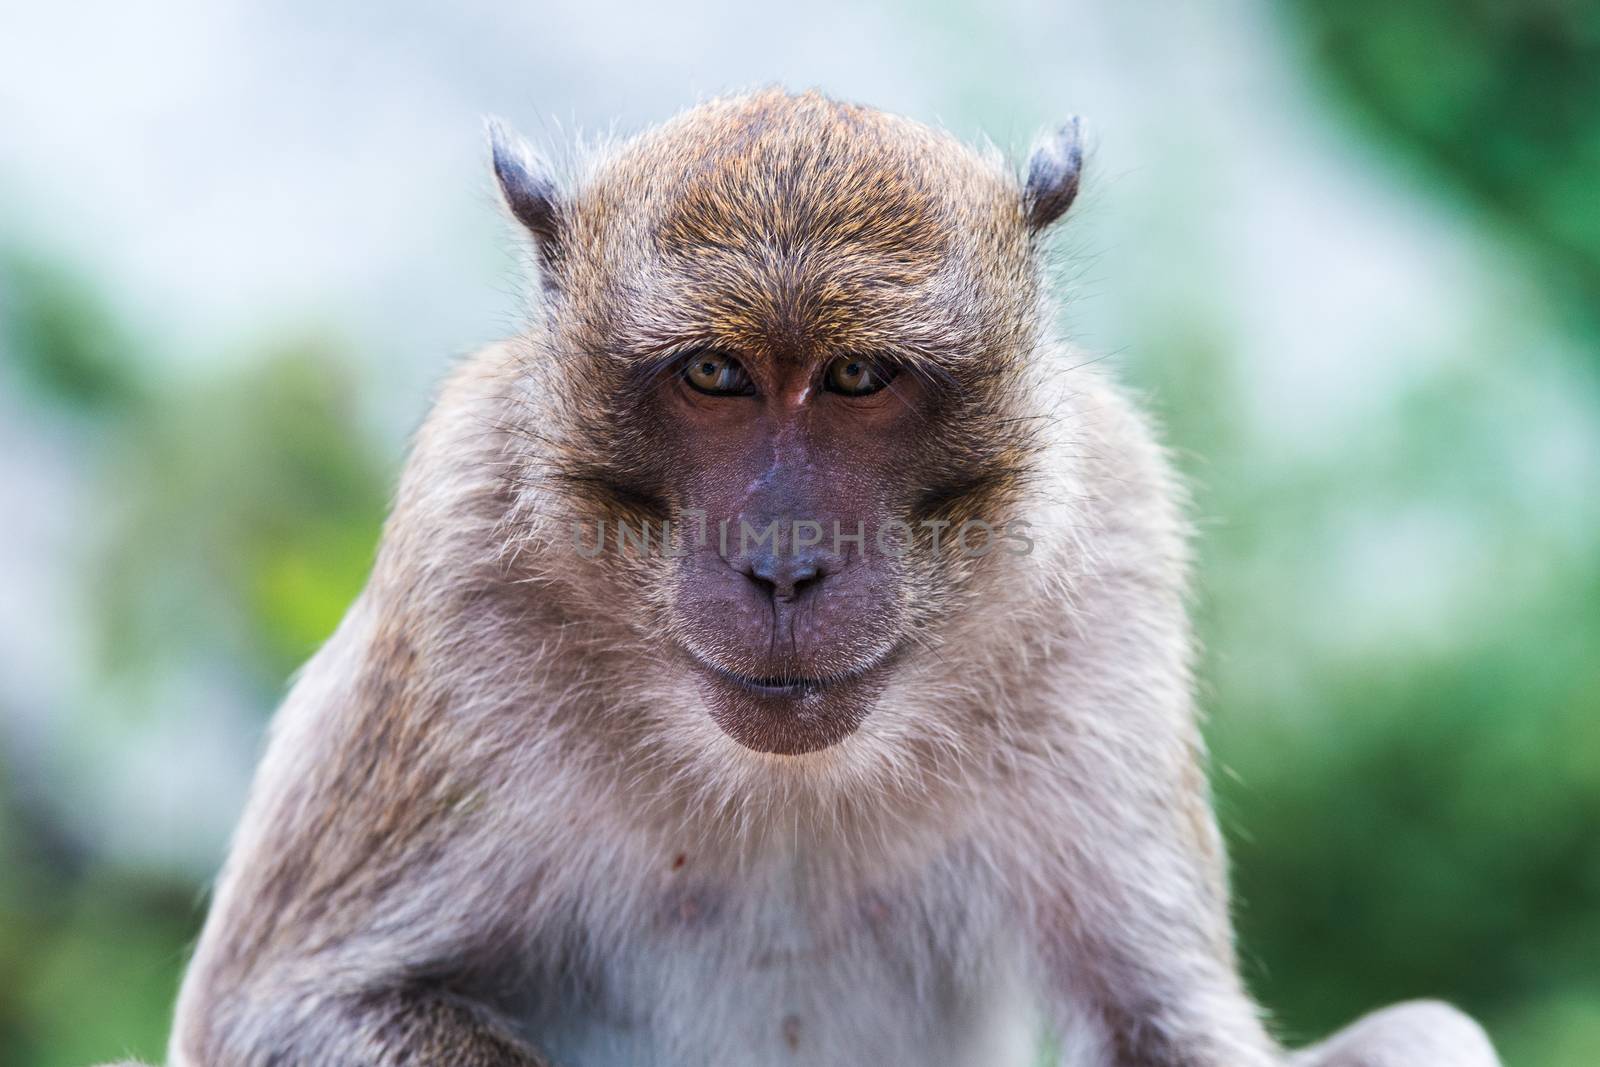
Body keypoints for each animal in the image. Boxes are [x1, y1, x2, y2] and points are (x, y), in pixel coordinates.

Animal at [112, 91, 1497, 1067]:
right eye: (714, 375)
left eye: (856, 378)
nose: (784, 562)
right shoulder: (455, 552)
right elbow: (282, 1005)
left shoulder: (1111, 545)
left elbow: (1167, 1024)